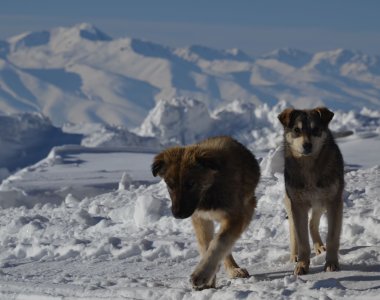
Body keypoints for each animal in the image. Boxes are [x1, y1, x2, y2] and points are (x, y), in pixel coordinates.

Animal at [150, 137, 260, 290]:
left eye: (191, 184)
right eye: (170, 185)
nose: (177, 214)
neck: (210, 190)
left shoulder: (235, 217)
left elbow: (218, 244)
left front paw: (201, 274)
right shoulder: (201, 219)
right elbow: (206, 246)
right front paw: (209, 279)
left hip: (248, 210)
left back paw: (233, 269)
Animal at [280, 106, 344, 276]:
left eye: (315, 130)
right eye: (297, 130)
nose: (307, 145)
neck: (309, 167)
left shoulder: (334, 202)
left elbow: (332, 237)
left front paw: (331, 263)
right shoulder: (297, 205)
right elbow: (302, 240)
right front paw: (302, 265)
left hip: (320, 204)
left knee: (312, 223)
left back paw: (320, 247)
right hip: (292, 203)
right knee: (294, 230)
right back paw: (294, 256)